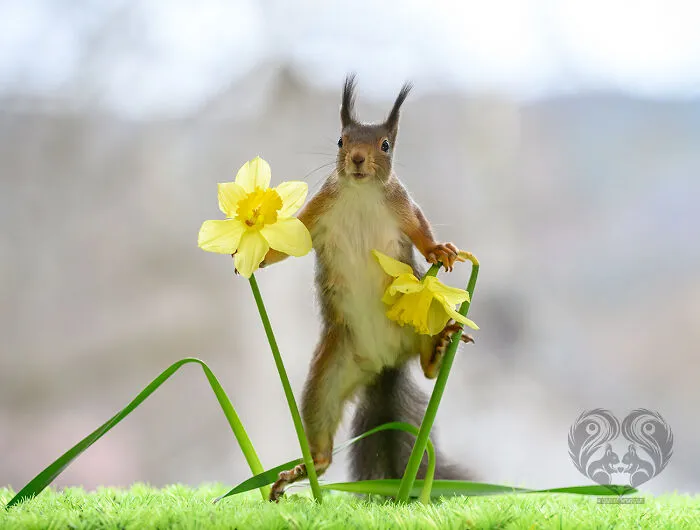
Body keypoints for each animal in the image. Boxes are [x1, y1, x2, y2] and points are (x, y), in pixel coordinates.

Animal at [261, 75, 473, 501]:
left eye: (385, 145)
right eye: (341, 141)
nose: (358, 159)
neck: (360, 193)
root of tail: (385, 364)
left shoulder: (402, 204)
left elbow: (420, 230)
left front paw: (439, 250)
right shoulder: (319, 208)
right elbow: (290, 241)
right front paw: (257, 252)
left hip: (421, 323)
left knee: (427, 369)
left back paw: (441, 346)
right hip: (328, 376)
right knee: (322, 436)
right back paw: (303, 468)